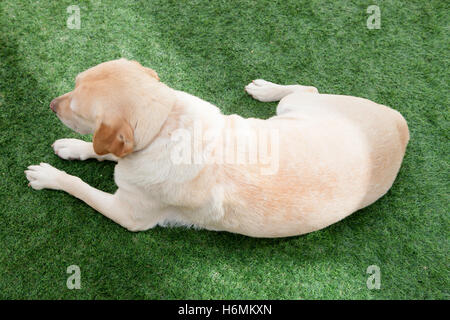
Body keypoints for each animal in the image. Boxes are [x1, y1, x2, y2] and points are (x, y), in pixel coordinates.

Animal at [25, 58, 412, 238]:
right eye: (74, 83)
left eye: (76, 110)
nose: (51, 105)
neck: (166, 123)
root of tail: (401, 124)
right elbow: (103, 150)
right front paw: (75, 147)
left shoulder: (130, 216)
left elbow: (81, 185)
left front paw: (50, 176)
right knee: (309, 88)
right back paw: (266, 89)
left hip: (301, 108)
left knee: (310, 88)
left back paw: (268, 88)